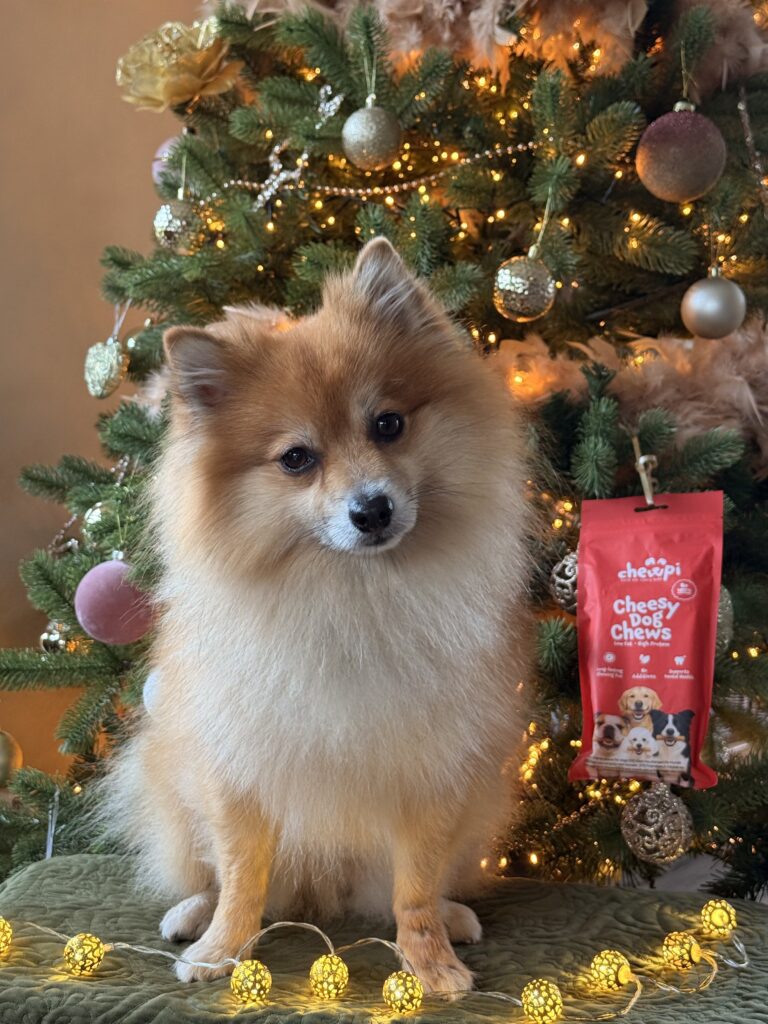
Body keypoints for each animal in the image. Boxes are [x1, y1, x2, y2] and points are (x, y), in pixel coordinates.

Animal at [101, 238, 530, 995]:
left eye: (388, 425)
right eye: (297, 459)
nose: (372, 509)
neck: (349, 596)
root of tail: (318, 896)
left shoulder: (432, 772)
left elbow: (414, 889)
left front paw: (430, 965)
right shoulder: (237, 768)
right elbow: (242, 876)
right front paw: (220, 950)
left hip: (481, 805)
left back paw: (453, 916)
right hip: (172, 786)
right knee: (213, 874)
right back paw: (192, 915)